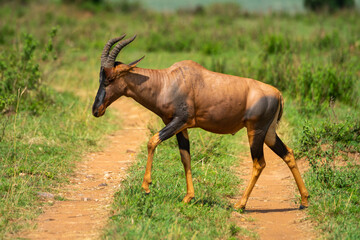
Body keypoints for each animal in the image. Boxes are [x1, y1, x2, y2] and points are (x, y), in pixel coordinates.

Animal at [93, 34, 310, 210]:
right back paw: (304, 201)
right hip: (269, 132)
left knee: (259, 163)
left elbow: (152, 140)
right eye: (100, 77)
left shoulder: (180, 120)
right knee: (288, 154)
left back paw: (240, 205)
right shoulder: (181, 127)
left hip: (255, 131)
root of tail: (278, 93)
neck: (168, 81)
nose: (96, 110)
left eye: (110, 78)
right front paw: (188, 197)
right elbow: (185, 157)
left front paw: (146, 186)